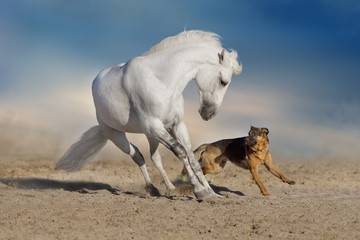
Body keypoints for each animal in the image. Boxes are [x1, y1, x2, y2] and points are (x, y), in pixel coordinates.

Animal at [56, 29, 242, 199]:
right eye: (223, 82)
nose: (209, 114)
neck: (162, 81)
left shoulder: (177, 125)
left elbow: (192, 158)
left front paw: (211, 193)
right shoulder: (154, 125)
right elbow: (180, 151)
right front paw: (199, 190)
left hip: (150, 135)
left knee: (155, 158)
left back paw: (169, 188)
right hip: (116, 134)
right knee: (137, 155)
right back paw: (152, 188)